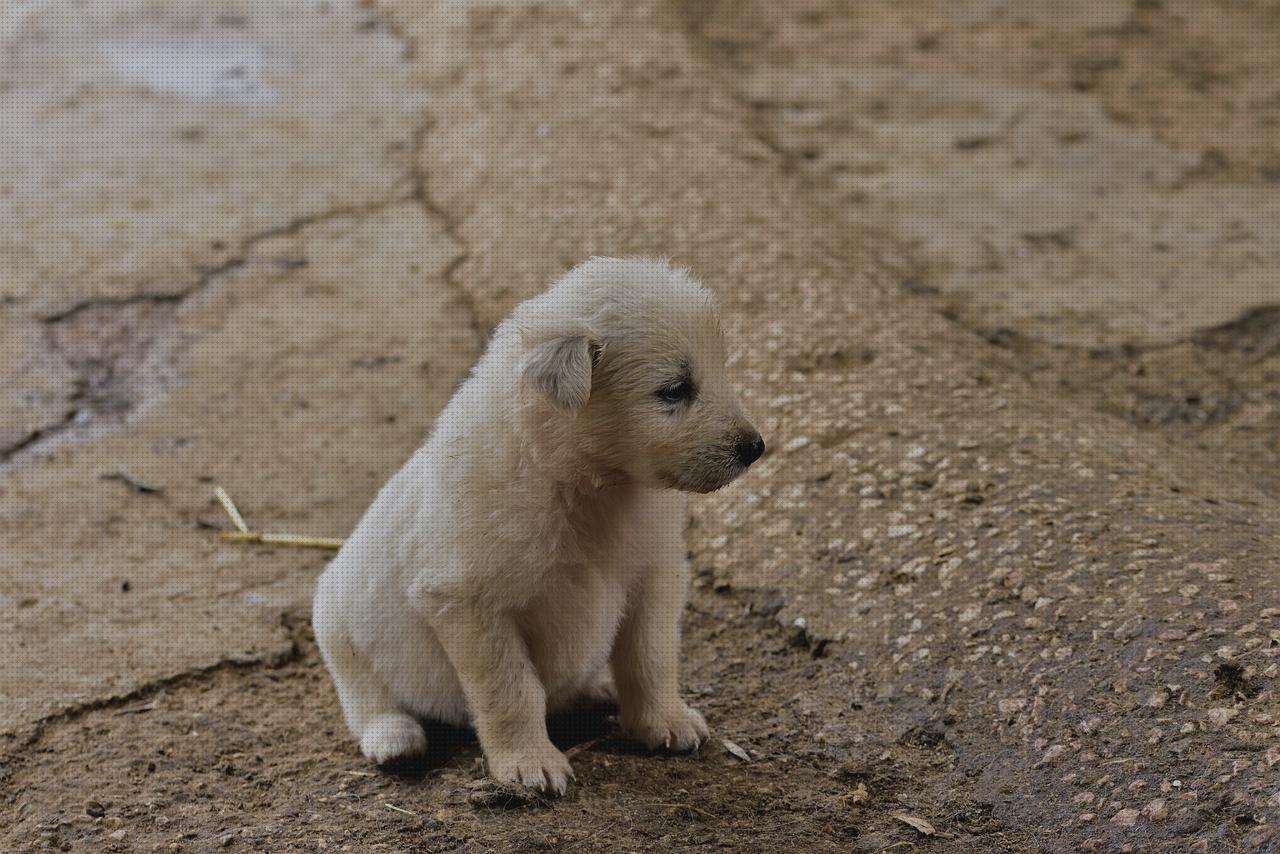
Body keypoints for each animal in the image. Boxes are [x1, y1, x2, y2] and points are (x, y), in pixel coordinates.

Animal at [314, 256, 762, 793]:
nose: (756, 448)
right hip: (336, 620)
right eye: (674, 390)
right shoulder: (465, 600)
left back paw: (596, 689)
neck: (582, 482)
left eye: (720, 370)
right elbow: (511, 688)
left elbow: (650, 655)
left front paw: (664, 721)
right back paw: (394, 737)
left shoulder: (655, 571)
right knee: (365, 695)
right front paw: (529, 763)